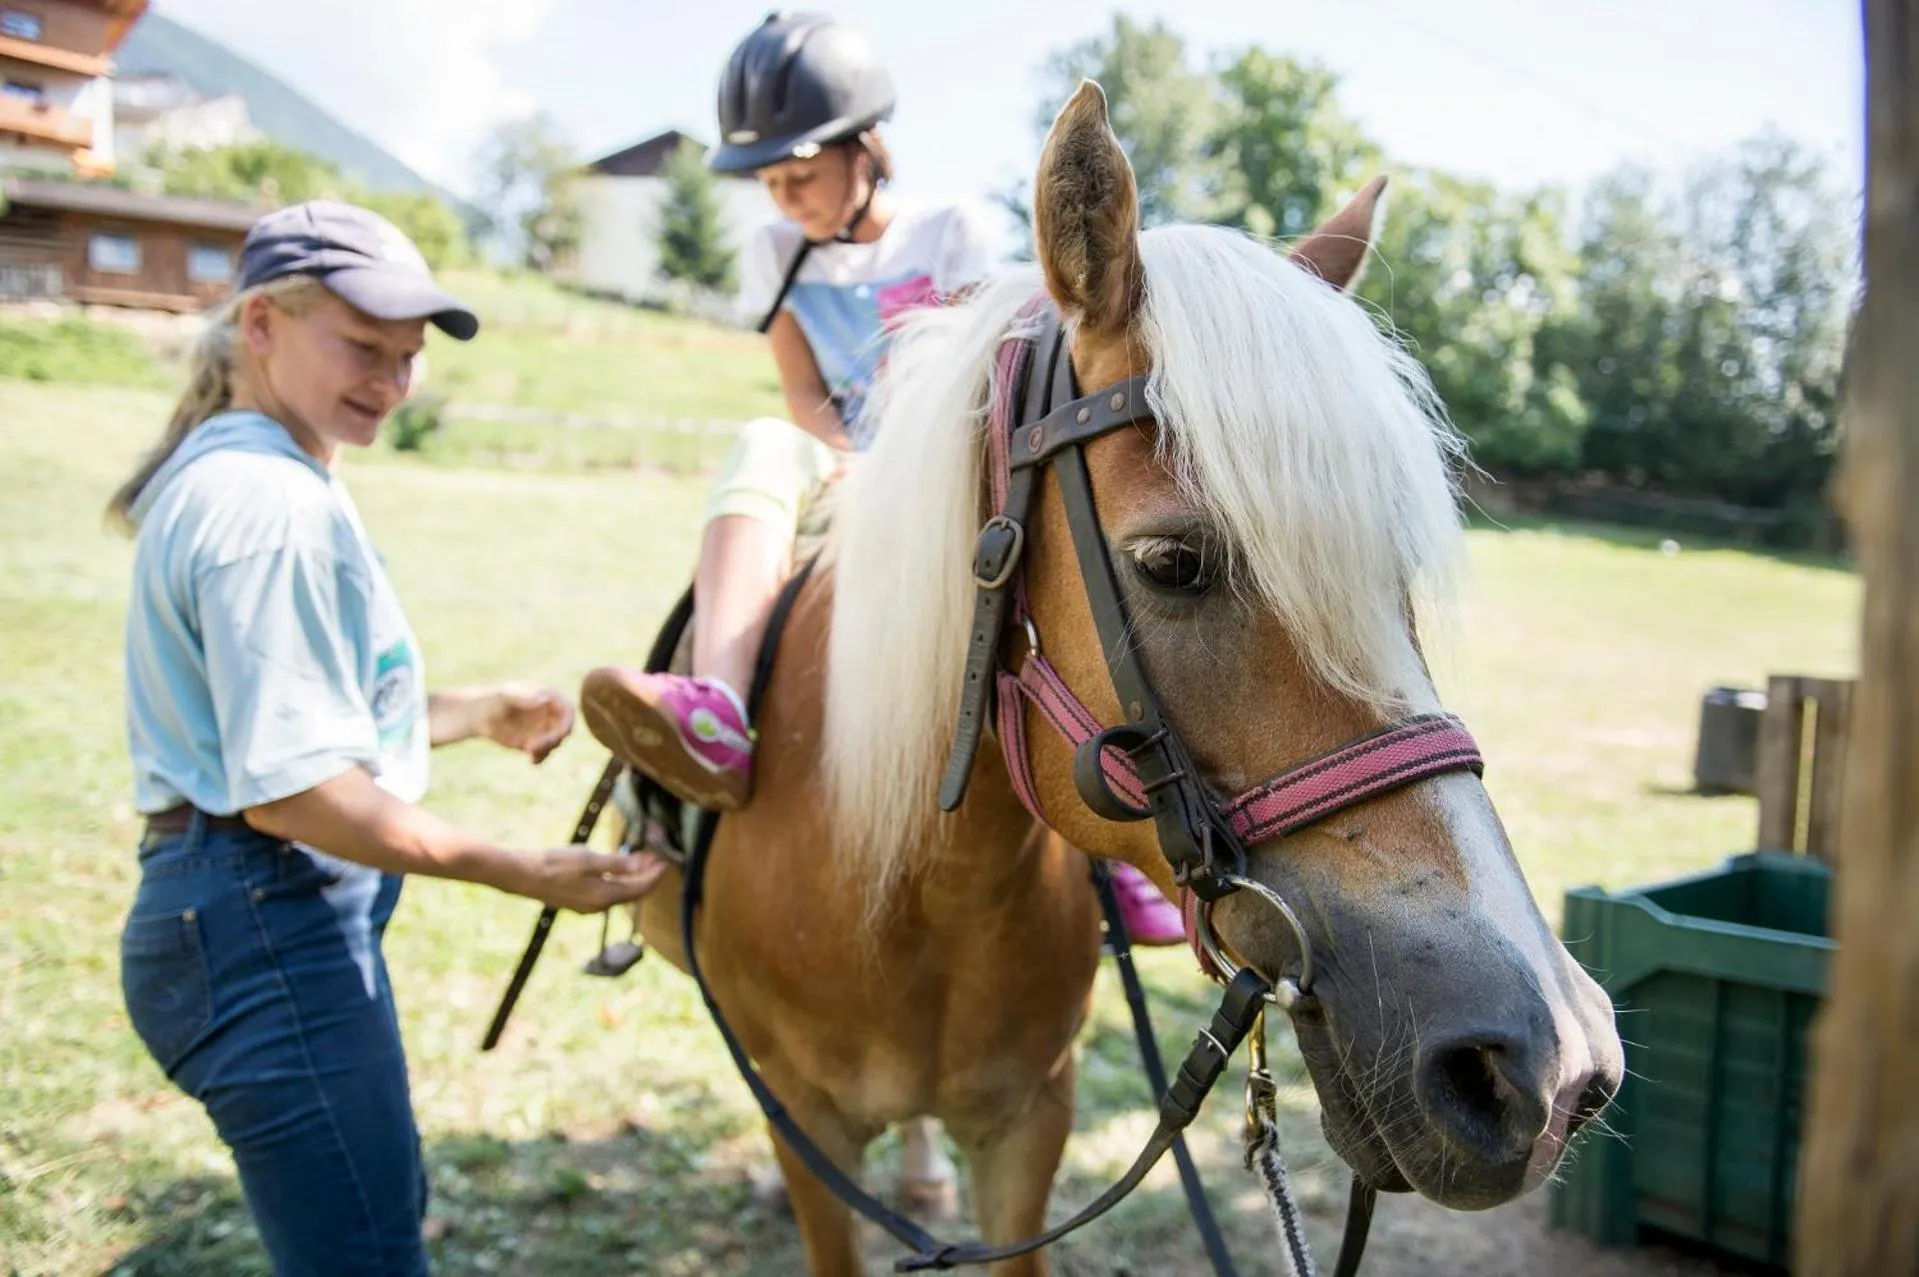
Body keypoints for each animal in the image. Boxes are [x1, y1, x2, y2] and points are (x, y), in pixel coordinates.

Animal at [624, 81, 1624, 1276]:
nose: (1552, 1064)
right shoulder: (807, 1129)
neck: (899, 892)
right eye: (1172, 563)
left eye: (1398, 578)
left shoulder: (1026, 1123)